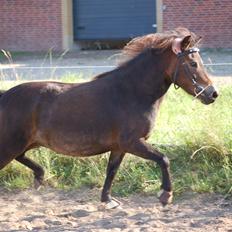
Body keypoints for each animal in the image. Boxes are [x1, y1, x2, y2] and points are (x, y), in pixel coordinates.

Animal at [0, 28, 218, 208]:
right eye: (193, 63)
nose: (213, 94)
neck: (132, 93)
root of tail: (5, 96)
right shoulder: (132, 142)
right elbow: (163, 159)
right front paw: (165, 195)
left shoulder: (119, 147)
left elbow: (112, 171)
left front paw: (108, 200)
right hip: (11, 144)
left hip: (22, 143)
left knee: (22, 157)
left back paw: (39, 176)